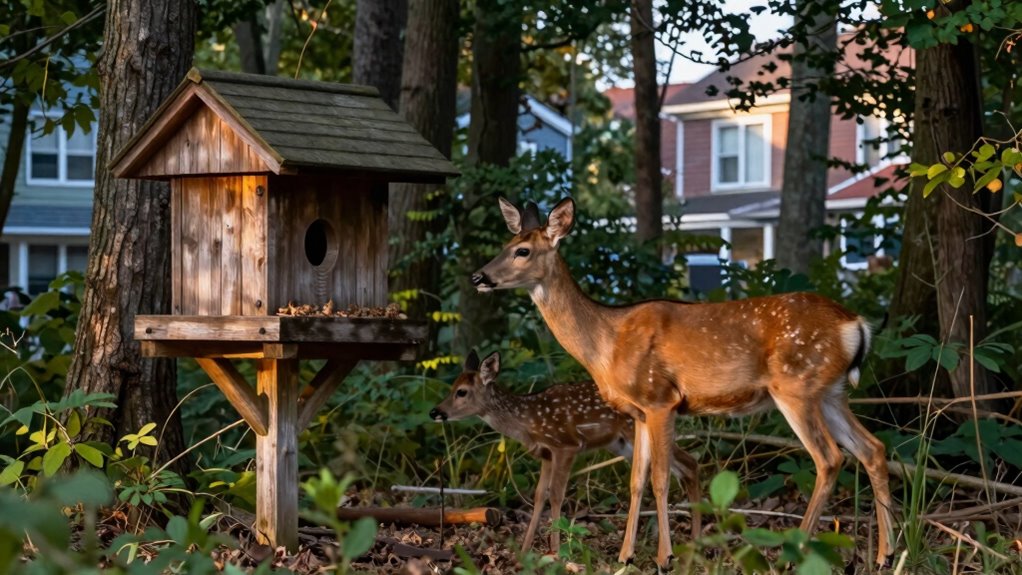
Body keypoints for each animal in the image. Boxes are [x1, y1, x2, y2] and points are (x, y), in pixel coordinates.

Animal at [430, 349, 702, 555]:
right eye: (452, 386)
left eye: (462, 391)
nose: (435, 411)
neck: (527, 422)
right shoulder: (546, 454)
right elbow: (539, 495)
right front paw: (525, 549)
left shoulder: (565, 445)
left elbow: (556, 495)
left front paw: (556, 551)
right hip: (622, 443)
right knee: (681, 467)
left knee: (689, 462)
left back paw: (692, 541)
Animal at [470, 197, 894, 572]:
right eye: (503, 245)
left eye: (522, 251)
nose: (478, 276)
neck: (606, 343)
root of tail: (856, 324)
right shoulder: (638, 411)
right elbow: (636, 481)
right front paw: (625, 557)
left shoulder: (661, 398)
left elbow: (660, 479)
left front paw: (665, 557)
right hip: (831, 392)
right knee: (872, 448)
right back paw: (884, 557)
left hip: (797, 386)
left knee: (830, 458)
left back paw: (794, 555)